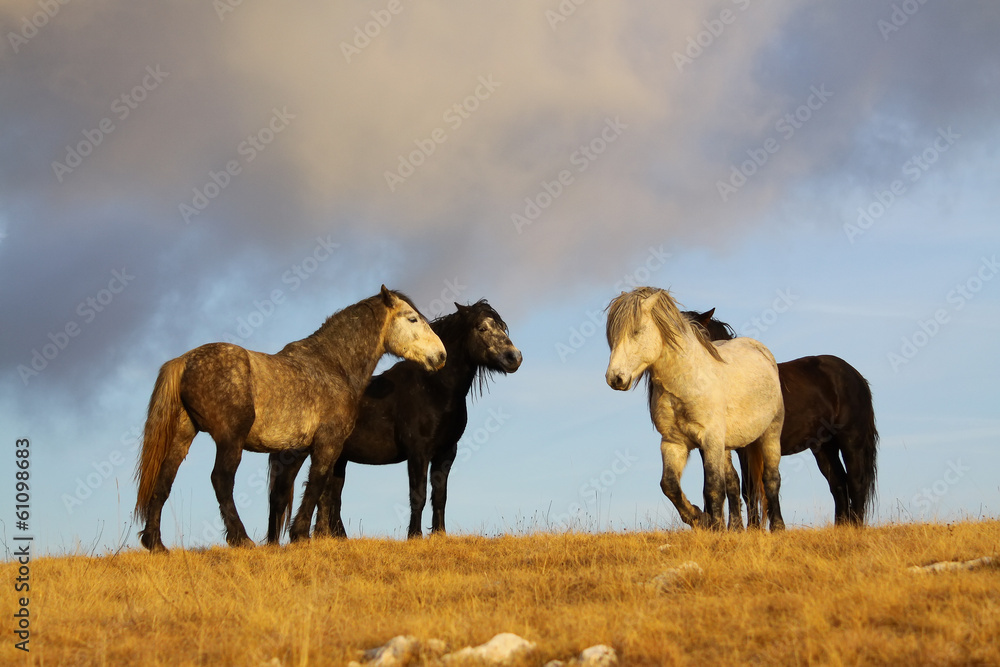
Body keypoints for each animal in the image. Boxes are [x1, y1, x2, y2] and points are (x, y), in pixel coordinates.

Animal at [133, 286, 447, 552]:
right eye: (413, 318)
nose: (441, 356)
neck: (332, 365)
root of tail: (184, 361)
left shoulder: (296, 451)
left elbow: (297, 492)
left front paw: (299, 538)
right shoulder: (328, 443)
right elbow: (319, 484)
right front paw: (301, 535)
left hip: (183, 434)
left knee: (164, 479)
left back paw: (155, 543)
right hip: (229, 439)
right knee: (221, 480)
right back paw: (241, 539)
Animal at [266, 300, 522, 542]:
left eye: (502, 327)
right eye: (482, 328)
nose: (514, 357)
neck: (434, 389)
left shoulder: (447, 452)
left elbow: (440, 496)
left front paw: (440, 534)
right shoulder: (418, 452)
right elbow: (418, 495)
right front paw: (414, 535)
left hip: (337, 458)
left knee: (328, 498)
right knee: (285, 496)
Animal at [605, 287, 785, 531]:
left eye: (637, 330)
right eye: (612, 336)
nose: (615, 378)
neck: (686, 382)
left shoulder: (710, 440)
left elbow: (713, 487)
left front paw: (716, 527)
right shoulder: (674, 443)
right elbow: (670, 485)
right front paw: (700, 519)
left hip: (769, 435)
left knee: (770, 479)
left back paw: (777, 527)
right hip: (727, 446)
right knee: (734, 481)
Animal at [687, 309, 879, 526]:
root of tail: (856, 376)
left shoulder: (746, 449)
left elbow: (749, 488)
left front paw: (753, 527)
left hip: (851, 439)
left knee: (856, 481)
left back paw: (856, 525)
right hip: (824, 446)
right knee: (838, 483)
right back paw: (841, 526)